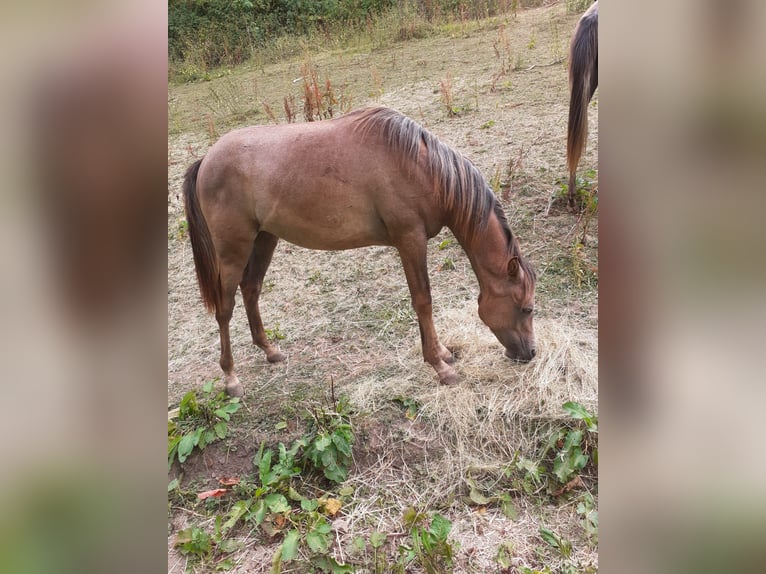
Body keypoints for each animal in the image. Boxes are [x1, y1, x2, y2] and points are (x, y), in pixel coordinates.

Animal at [183, 106, 536, 398]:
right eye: (526, 308)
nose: (530, 354)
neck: (420, 167)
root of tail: (207, 160)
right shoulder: (411, 240)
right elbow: (423, 301)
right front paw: (440, 366)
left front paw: (443, 353)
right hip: (233, 250)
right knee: (225, 308)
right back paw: (231, 378)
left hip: (264, 239)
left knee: (251, 290)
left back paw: (270, 351)